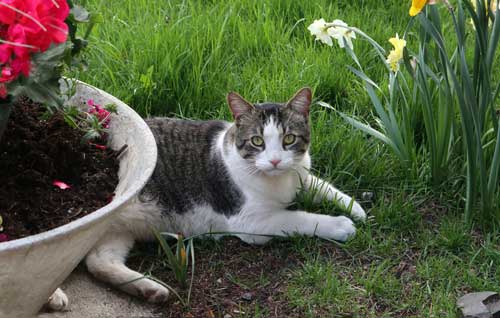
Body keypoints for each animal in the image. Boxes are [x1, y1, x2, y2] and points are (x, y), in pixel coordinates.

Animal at [76, 87, 366, 304]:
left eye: (289, 139)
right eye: (257, 141)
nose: (274, 161)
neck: (278, 181)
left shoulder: (300, 174)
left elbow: (321, 185)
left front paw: (355, 207)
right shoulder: (251, 223)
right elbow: (300, 218)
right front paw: (339, 224)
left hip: (116, 229)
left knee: (98, 260)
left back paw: (148, 289)